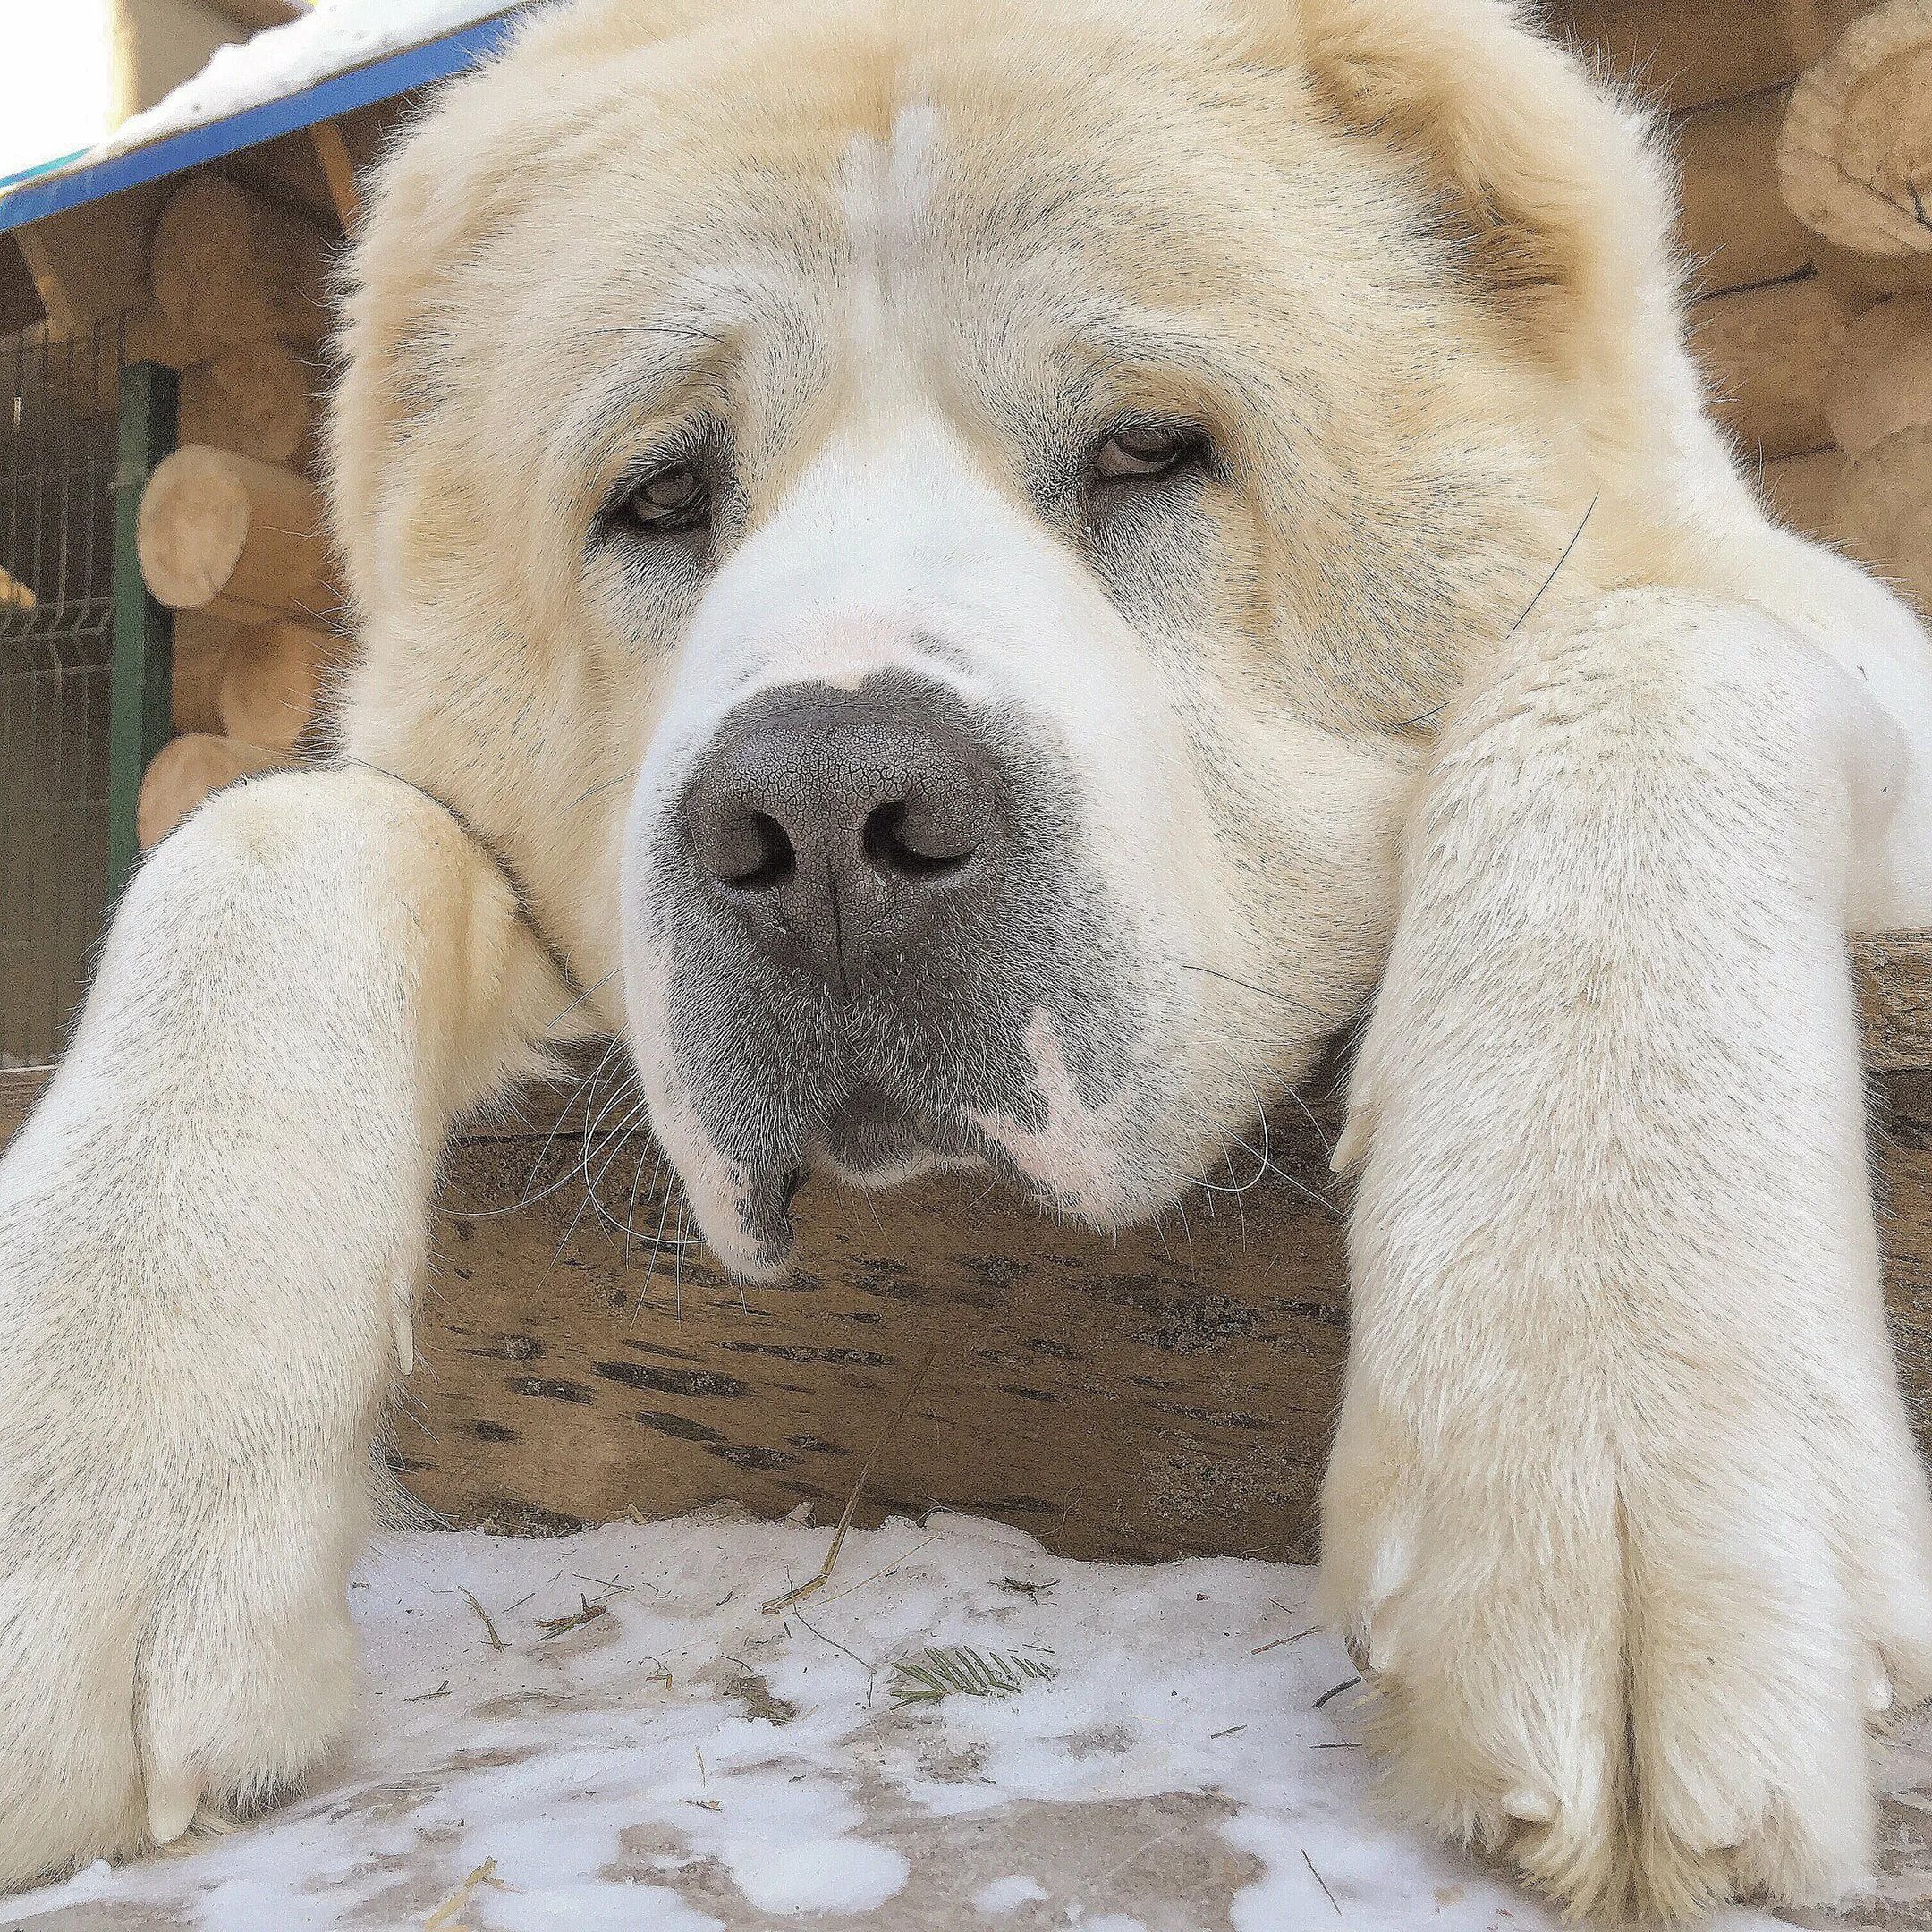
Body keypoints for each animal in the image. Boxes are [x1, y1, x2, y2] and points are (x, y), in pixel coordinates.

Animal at [4, 0, 1932, 1909]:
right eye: (664, 495)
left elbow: (1645, 638)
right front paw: (85, 1473)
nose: (826, 818)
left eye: (1152, 449)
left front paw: (1614, 1456)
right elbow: (265, 833)